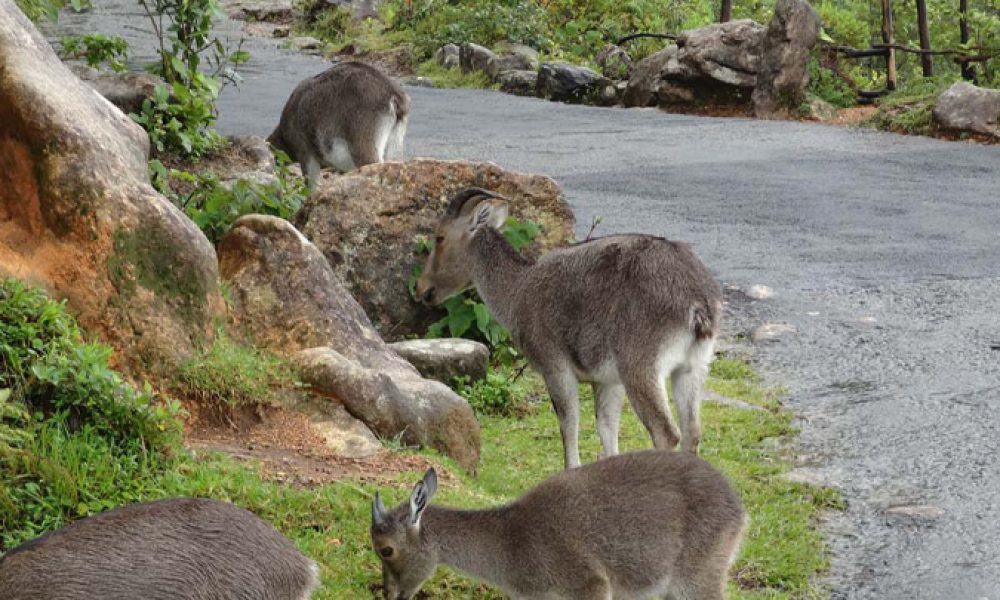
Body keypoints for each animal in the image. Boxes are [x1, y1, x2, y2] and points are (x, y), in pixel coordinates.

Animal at [410, 188, 724, 468]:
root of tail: (699, 305)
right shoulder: (607, 379)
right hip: (693, 367)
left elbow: (568, 424)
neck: (518, 291)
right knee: (693, 432)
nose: (422, 288)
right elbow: (606, 429)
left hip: (641, 363)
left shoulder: (554, 364)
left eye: (439, 237)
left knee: (667, 433)